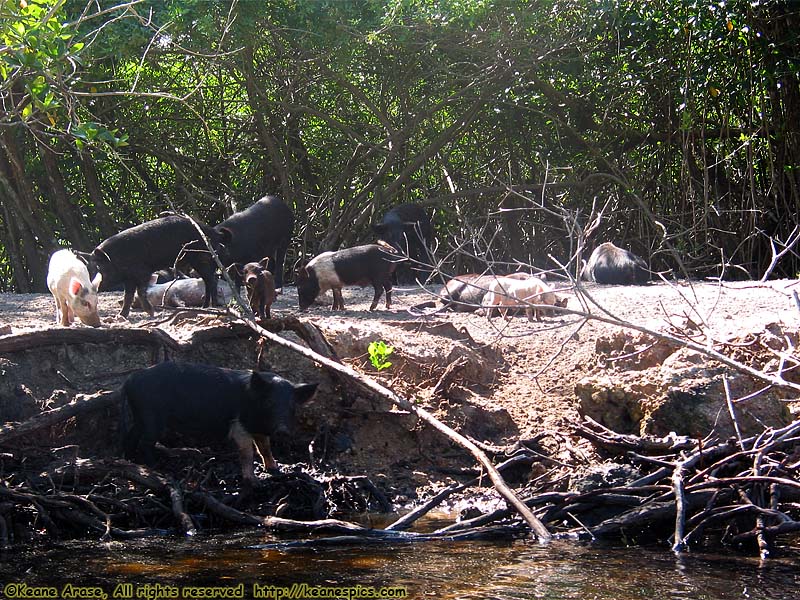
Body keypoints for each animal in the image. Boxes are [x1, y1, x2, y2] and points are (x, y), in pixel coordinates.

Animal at [84, 216, 231, 318]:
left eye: (99, 269)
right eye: (89, 269)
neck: (117, 259)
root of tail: (214, 232)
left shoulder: (142, 272)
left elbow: (140, 292)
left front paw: (151, 313)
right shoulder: (129, 278)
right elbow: (128, 296)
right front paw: (121, 316)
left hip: (202, 259)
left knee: (211, 280)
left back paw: (209, 306)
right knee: (209, 280)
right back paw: (205, 306)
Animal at [120, 364, 318, 486]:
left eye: (292, 407)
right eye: (269, 403)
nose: (282, 431)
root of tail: (129, 380)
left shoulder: (258, 429)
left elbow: (265, 448)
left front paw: (275, 470)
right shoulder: (238, 426)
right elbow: (247, 452)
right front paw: (254, 482)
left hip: (140, 416)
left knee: (130, 436)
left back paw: (130, 460)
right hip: (152, 417)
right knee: (145, 442)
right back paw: (156, 468)